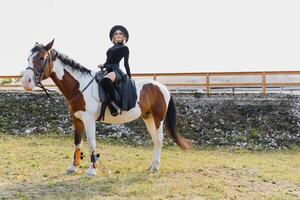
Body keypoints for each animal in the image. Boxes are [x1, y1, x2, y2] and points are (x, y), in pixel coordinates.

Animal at [21, 39, 190, 176]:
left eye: (42, 58)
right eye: (28, 58)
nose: (26, 82)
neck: (79, 86)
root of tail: (163, 87)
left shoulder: (89, 120)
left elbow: (91, 143)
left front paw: (91, 170)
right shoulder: (77, 119)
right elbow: (77, 142)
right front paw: (73, 167)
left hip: (158, 119)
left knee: (160, 139)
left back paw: (155, 167)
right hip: (147, 117)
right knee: (155, 140)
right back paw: (151, 166)